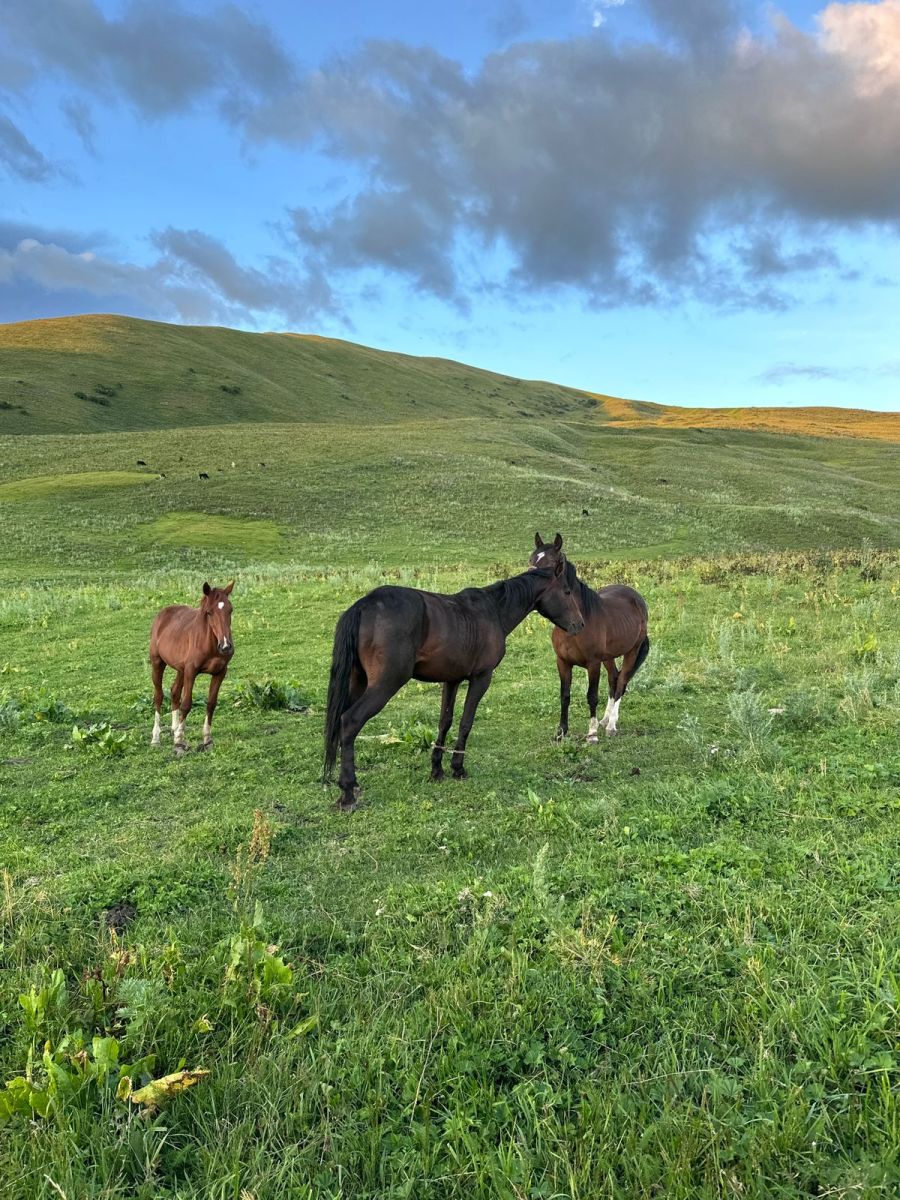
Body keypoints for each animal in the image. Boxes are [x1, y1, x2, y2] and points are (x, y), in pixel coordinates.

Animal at [148, 578, 234, 748]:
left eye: (230, 610)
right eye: (209, 612)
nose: (225, 646)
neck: (209, 644)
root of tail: (163, 613)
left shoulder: (220, 672)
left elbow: (211, 703)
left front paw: (207, 739)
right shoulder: (191, 671)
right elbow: (187, 704)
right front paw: (179, 740)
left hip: (181, 669)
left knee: (174, 692)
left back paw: (174, 728)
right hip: (158, 663)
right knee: (159, 696)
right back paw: (156, 737)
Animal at [324, 556, 585, 811]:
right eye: (567, 592)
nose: (580, 625)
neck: (493, 610)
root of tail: (364, 605)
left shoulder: (452, 680)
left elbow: (445, 722)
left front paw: (437, 768)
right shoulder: (481, 678)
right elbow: (465, 722)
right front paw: (458, 767)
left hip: (357, 683)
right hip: (385, 685)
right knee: (350, 721)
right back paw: (347, 792)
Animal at [528, 535, 648, 739]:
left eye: (550, 563)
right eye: (531, 559)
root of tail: (637, 598)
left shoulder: (593, 664)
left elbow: (592, 696)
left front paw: (592, 733)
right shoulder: (563, 662)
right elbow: (565, 695)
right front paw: (561, 731)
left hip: (632, 651)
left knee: (622, 682)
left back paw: (611, 726)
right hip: (608, 657)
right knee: (614, 679)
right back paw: (605, 720)